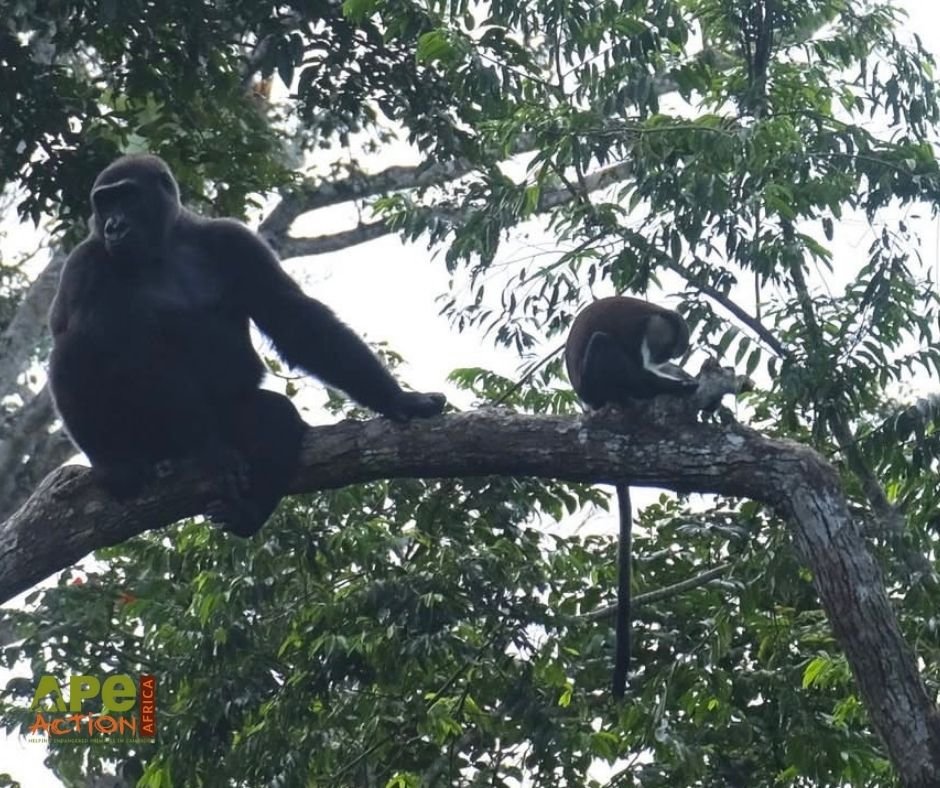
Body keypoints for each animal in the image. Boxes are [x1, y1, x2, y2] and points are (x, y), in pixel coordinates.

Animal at [49, 154, 446, 537]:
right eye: (105, 202)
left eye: (127, 196)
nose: (113, 226)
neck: (165, 244)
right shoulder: (85, 263)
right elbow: (118, 346)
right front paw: (208, 450)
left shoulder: (235, 241)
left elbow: (292, 317)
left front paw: (397, 399)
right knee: (75, 350)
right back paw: (117, 461)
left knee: (275, 417)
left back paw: (248, 513)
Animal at [565, 296, 698, 697]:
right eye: (668, 344)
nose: (665, 354)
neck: (655, 314)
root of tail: (589, 402)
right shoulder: (642, 329)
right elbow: (637, 366)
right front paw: (681, 386)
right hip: (597, 379)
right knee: (603, 346)